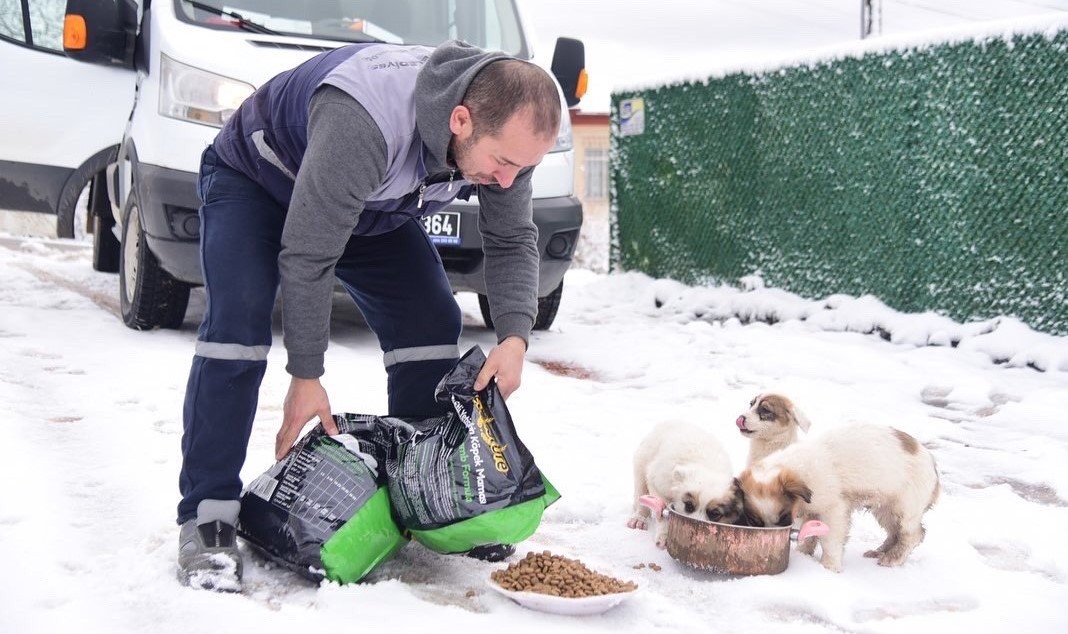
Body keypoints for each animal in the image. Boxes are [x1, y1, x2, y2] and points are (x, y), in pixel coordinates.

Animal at [623, 416, 743, 546]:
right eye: (689, 506)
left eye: (715, 514)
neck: (706, 467)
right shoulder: (656, 481)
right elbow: (663, 514)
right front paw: (664, 536)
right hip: (641, 464)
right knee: (641, 496)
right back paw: (638, 519)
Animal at [739, 422, 939, 572]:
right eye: (755, 522)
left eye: (783, 519)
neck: (798, 468)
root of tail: (932, 463)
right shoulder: (810, 511)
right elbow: (809, 536)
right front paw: (803, 554)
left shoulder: (833, 510)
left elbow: (830, 540)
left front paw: (829, 567)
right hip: (884, 509)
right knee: (894, 533)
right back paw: (880, 552)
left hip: (904, 509)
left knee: (913, 535)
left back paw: (892, 559)